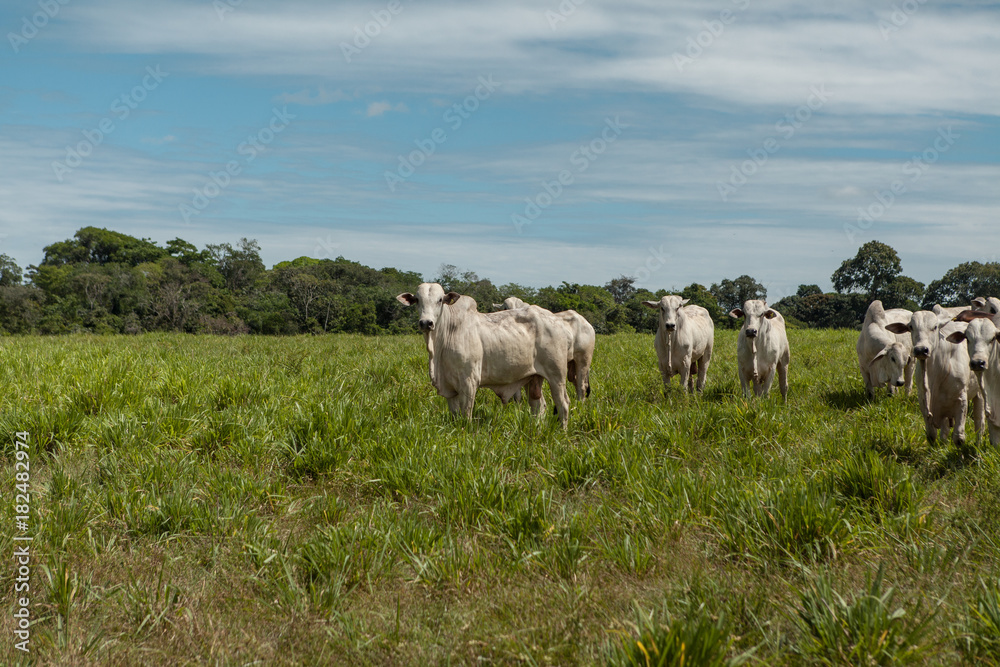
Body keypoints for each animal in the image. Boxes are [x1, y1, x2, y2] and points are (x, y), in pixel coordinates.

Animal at [396, 284, 572, 426]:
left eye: (440, 300)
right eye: (417, 300)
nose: (426, 323)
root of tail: (556, 319)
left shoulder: (469, 382)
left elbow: (466, 415)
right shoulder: (449, 388)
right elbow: (455, 416)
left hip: (557, 375)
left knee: (563, 404)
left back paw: (561, 431)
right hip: (532, 377)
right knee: (539, 406)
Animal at [888, 310, 980, 446]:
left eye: (935, 327)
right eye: (911, 327)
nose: (921, 349)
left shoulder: (961, 399)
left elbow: (959, 438)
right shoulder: (923, 400)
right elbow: (931, 435)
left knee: (980, 421)